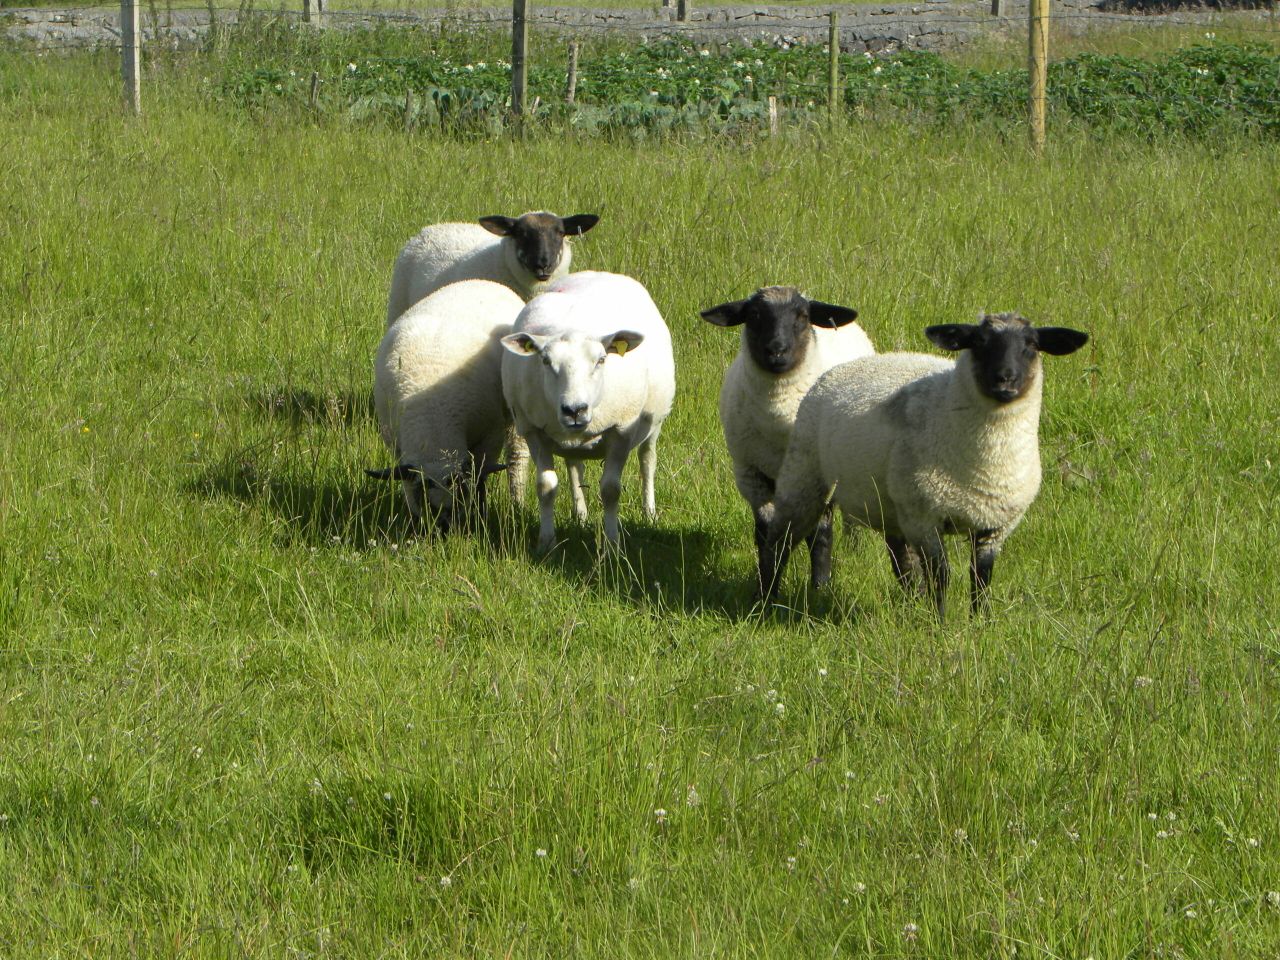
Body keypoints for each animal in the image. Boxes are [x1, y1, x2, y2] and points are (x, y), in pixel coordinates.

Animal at [368, 279, 527, 534]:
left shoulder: (489, 436)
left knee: (517, 457)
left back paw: (517, 501)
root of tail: (481, 281)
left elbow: (480, 478)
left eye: (459, 492)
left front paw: (479, 517)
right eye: (422, 494)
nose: (442, 528)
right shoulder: (397, 445)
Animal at [500, 271, 675, 553]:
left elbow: (611, 490)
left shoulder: (621, 429)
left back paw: (649, 512)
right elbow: (545, 487)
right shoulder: (533, 430)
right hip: (569, 441)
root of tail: (597, 273)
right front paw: (546, 543)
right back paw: (580, 515)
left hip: (654, 420)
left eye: (602, 360)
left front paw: (613, 545)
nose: (574, 410)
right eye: (545, 361)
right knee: (574, 466)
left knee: (647, 460)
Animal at [701, 286, 874, 587]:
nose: (776, 350)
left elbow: (820, 532)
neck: (778, 416)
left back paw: (855, 546)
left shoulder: (820, 478)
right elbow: (766, 532)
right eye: (754, 315)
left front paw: (820, 585)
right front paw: (767, 585)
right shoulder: (751, 474)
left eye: (803, 316)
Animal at [758, 312, 1089, 619]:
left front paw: (980, 622)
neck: (985, 465)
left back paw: (910, 600)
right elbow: (940, 575)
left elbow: (981, 577)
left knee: (899, 555)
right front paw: (939, 622)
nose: (1005, 378)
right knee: (779, 541)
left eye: (1032, 345)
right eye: (979, 341)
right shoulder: (925, 517)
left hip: (889, 505)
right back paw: (767, 599)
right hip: (804, 477)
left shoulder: (994, 524)